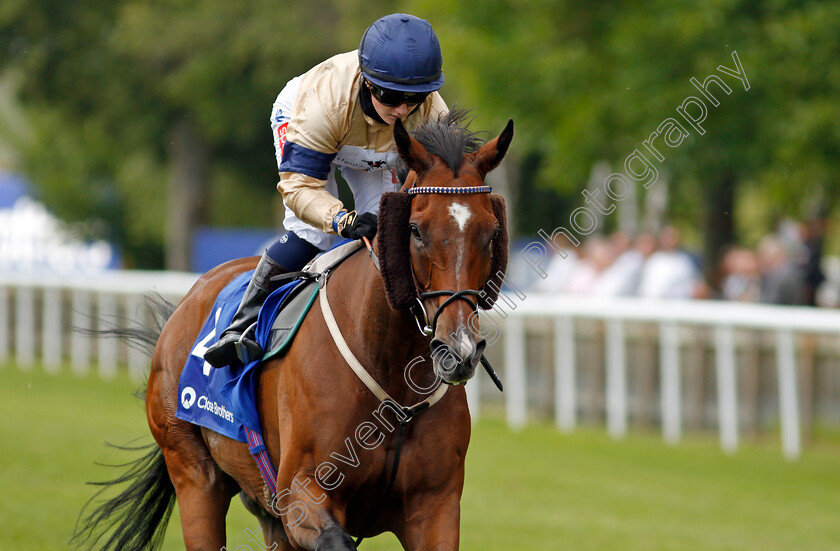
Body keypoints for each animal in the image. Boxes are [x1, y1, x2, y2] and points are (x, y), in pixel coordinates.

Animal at [75, 110, 516, 548]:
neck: (392, 376)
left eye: (492, 232)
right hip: (193, 472)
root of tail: (191, 298)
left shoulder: (435, 506)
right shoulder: (300, 493)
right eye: (416, 230)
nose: (459, 349)